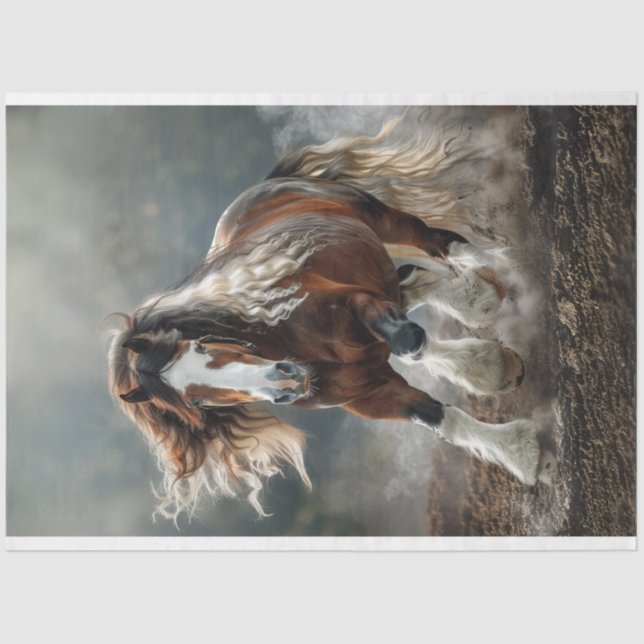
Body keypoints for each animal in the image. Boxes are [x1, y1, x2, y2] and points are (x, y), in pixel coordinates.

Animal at [106, 109, 553, 521]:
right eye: (197, 402)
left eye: (201, 345)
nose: (285, 381)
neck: (298, 344)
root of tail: (268, 184)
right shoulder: (370, 395)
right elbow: (441, 418)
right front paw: (521, 449)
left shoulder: (356, 302)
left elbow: (408, 341)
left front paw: (518, 443)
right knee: (416, 281)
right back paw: (482, 316)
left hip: (387, 223)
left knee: (446, 246)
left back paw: (508, 271)